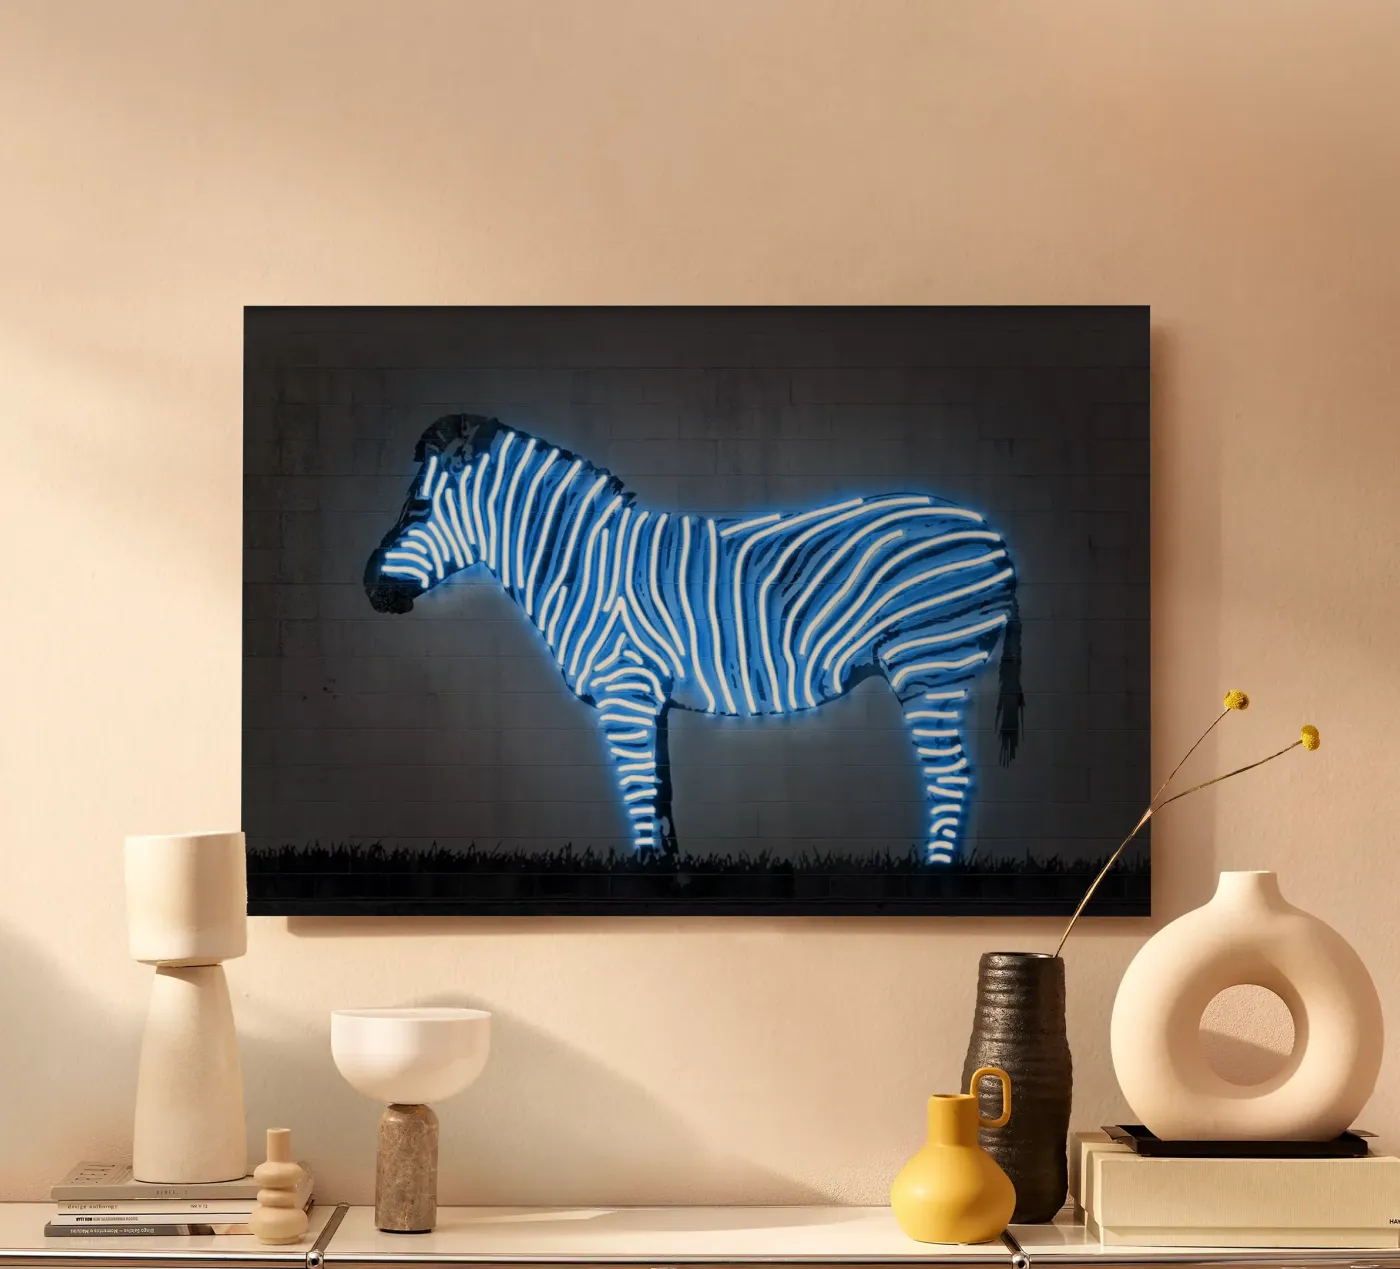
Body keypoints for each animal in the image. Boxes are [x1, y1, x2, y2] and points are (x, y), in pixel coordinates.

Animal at [364, 414, 1023, 862]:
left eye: (418, 508)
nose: (369, 589)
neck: (579, 561)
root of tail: (992, 531)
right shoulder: (648, 700)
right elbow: (660, 798)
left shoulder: (625, 692)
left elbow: (636, 794)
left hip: (929, 662)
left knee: (951, 778)